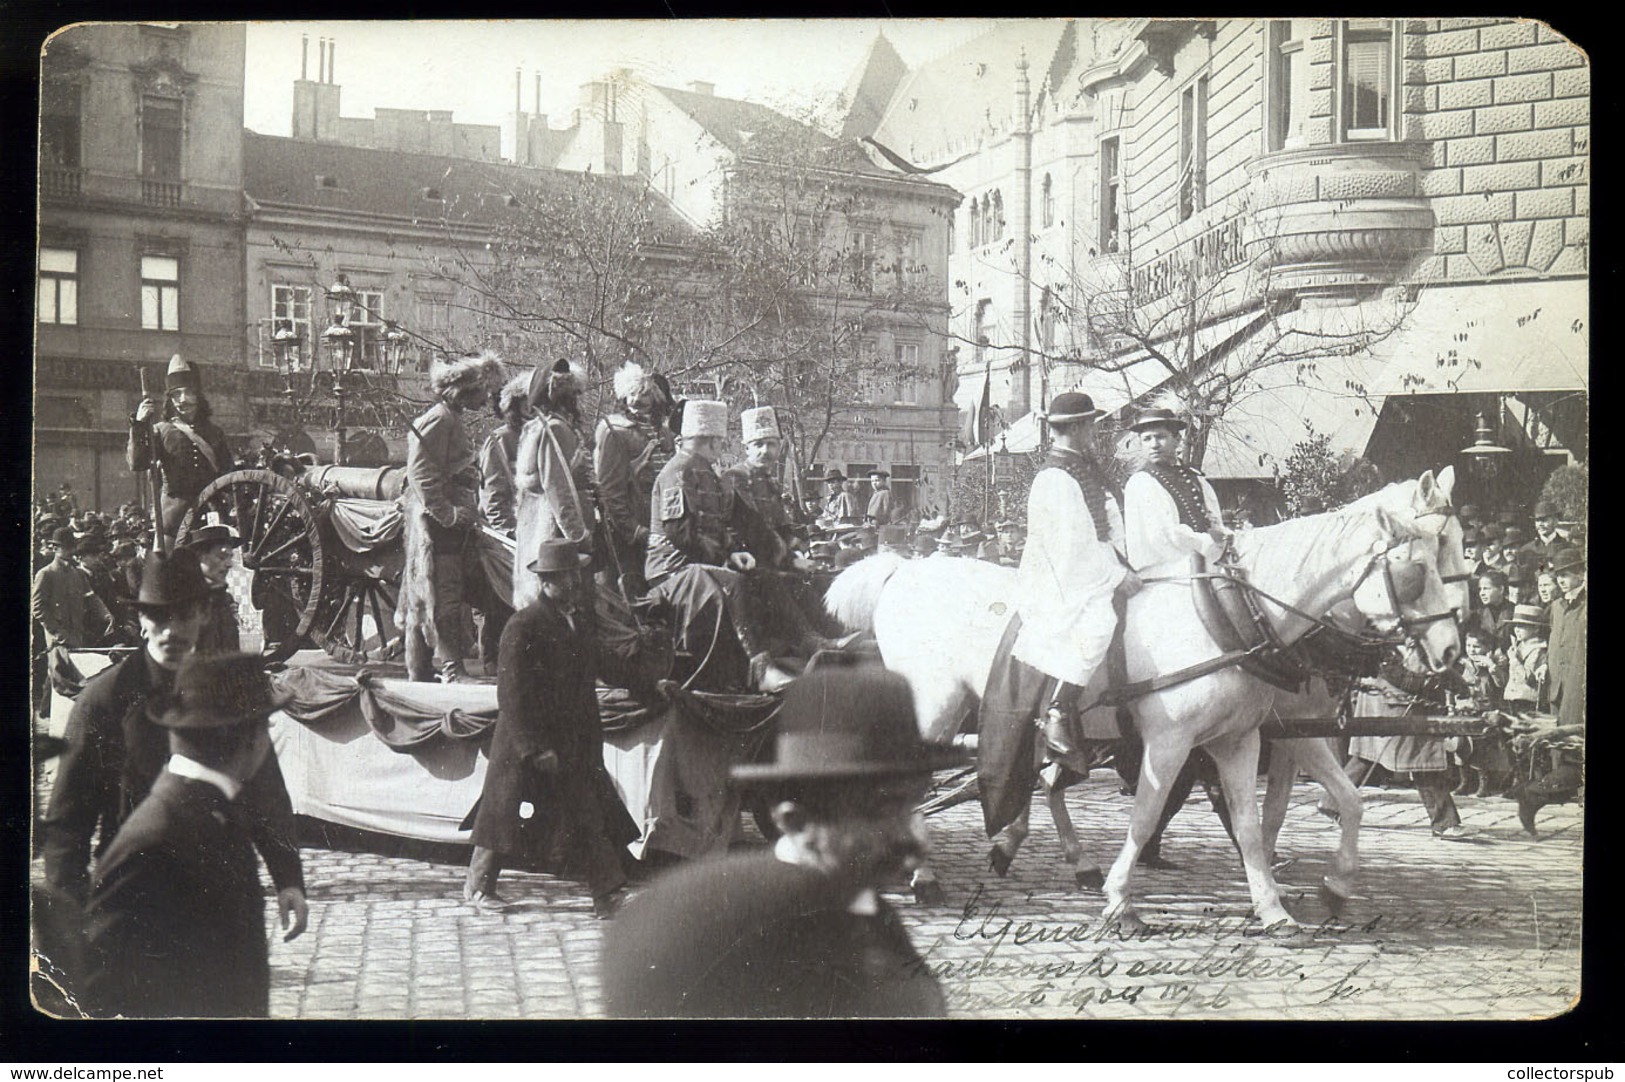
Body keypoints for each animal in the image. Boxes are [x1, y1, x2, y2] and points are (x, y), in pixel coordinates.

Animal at [832, 467, 1469, 922]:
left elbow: (1278, 812)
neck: (1238, 614)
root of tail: (904, 570)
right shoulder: (1175, 742)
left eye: (1455, 548)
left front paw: (1286, 898)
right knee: (918, 782)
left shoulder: (1250, 737)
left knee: (1042, 777)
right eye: (1417, 568)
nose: (1452, 652)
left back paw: (1048, 856)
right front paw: (1122, 899)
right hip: (935, 708)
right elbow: (1147, 814)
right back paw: (927, 876)